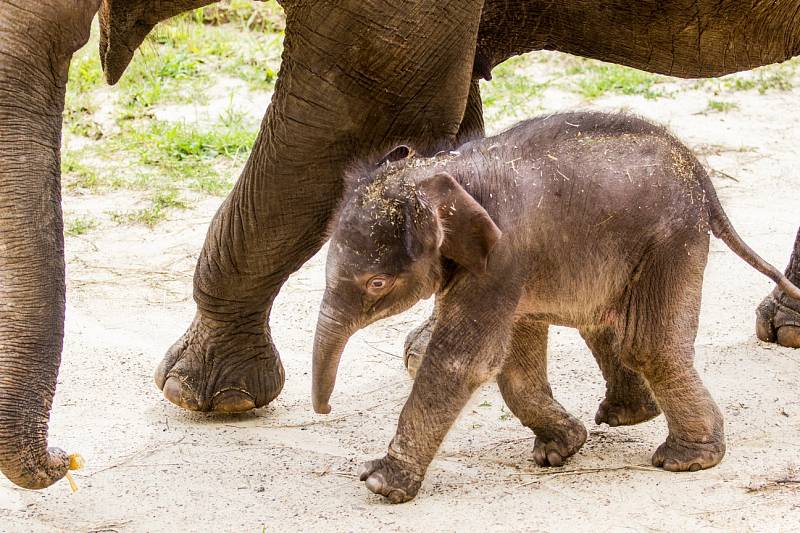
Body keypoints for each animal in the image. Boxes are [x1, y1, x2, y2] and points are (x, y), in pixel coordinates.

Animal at [310, 110, 800, 500]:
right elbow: (513, 362)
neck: (445, 171)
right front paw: (559, 451)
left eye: (377, 283)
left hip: (672, 239)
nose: (325, 411)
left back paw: (685, 459)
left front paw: (379, 483)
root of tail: (701, 174)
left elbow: (463, 361)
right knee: (605, 324)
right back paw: (625, 417)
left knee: (648, 346)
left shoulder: (501, 257)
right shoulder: (512, 266)